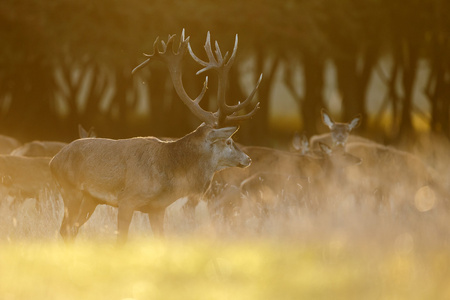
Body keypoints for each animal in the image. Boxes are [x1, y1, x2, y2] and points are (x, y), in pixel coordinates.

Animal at [50, 29, 260, 243]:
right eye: (229, 141)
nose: (248, 158)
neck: (168, 173)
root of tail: (53, 161)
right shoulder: (127, 200)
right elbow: (121, 240)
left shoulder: (158, 208)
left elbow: (161, 239)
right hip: (70, 191)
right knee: (65, 229)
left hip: (90, 200)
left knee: (70, 230)